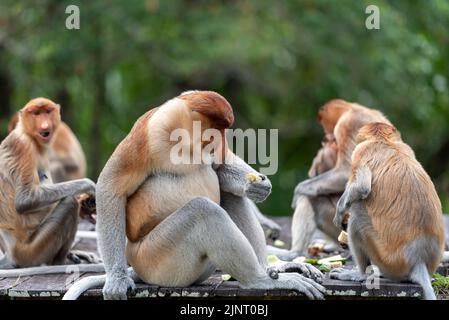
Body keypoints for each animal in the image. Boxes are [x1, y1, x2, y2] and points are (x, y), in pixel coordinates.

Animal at [0, 97, 98, 270]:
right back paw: (60, 262)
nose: (45, 125)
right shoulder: (21, 145)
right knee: (69, 202)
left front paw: (86, 205)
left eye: (47, 112)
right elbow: (24, 200)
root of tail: (10, 256)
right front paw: (89, 186)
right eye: (36, 114)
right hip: (30, 252)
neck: (29, 136)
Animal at [61, 90, 324, 300]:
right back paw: (259, 281)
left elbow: (219, 170)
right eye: (217, 128)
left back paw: (273, 269)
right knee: (203, 211)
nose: (221, 141)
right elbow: (111, 186)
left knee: (229, 196)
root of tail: (137, 266)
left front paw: (257, 186)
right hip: (158, 260)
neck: (183, 140)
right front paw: (116, 281)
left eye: (224, 129)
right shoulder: (148, 132)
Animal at [330, 122, 442, 300]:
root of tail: (418, 260)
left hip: (388, 260)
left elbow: (362, 188)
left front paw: (339, 214)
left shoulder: (361, 151)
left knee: (358, 217)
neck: (383, 141)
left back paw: (361, 275)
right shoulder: (407, 147)